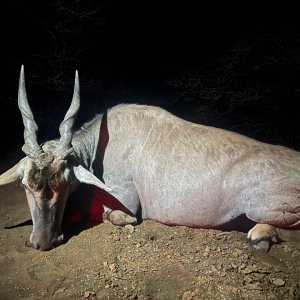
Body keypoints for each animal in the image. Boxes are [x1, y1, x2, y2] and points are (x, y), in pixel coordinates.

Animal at [0, 66, 300, 251]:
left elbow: (116, 216)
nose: (42, 242)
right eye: (26, 185)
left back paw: (260, 236)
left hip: (261, 208)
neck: (101, 143)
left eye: (65, 184)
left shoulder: (126, 201)